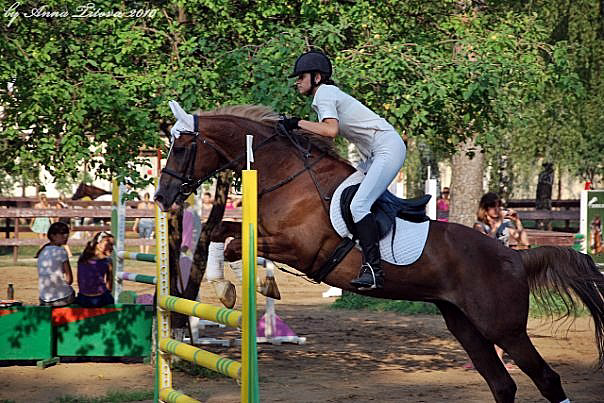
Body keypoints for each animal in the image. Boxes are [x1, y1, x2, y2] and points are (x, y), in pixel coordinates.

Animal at [154, 105, 604, 403]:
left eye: (182, 149)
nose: (161, 196)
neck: (288, 176)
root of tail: (515, 258)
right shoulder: (265, 232)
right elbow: (220, 233)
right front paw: (228, 289)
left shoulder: (297, 247)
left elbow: (235, 244)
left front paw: (249, 287)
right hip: (466, 326)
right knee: (502, 384)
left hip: (503, 328)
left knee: (546, 379)